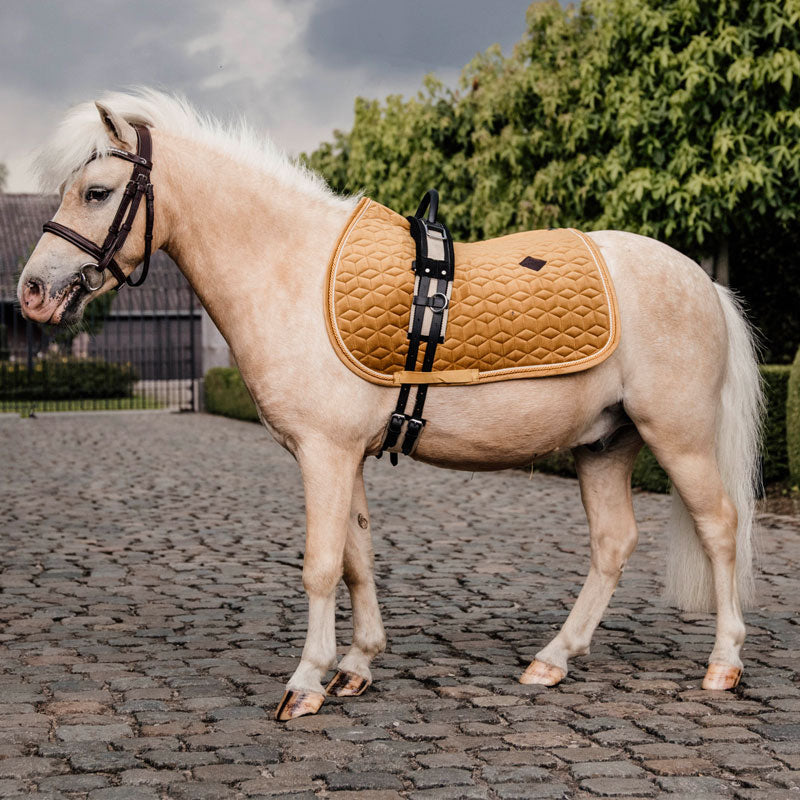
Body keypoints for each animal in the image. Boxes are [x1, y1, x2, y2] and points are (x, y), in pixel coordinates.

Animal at [17, 90, 762, 721]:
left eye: (96, 191)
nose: (32, 292)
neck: (292, 271)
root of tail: (703, 282)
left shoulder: (324, 452)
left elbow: (321, 564)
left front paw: (306, 683)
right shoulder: (342, 454)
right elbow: (356, 558)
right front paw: (356, 666)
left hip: (678, 437)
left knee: (720, 527)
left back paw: (722, 664)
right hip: (604, 444)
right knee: (613, 544)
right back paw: (553, 660)